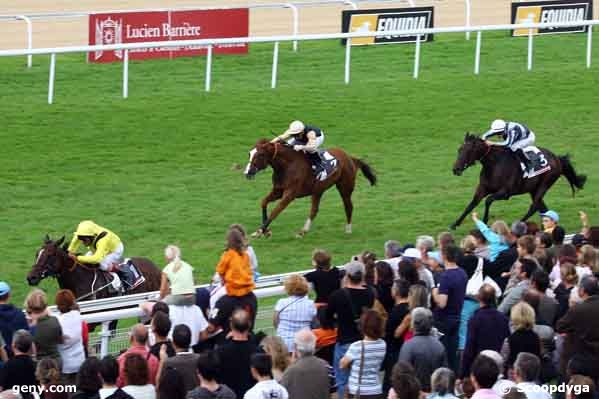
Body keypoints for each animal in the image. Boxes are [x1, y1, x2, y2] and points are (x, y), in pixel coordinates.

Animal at [243, 140, 376, 238]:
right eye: (249, 153)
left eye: (260, 155)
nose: (247, 172)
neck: (287, 166)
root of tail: (350, 157)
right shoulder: (278, 191)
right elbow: (263, 202)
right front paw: (264, 230)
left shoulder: (290, 194)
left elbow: (276, 210)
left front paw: (261, 231)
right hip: (318, 190)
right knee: (314, 210)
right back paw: (303, 231)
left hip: (345, 187)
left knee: (348, 206)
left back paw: (348, 229)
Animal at [450, 134, 584, 230]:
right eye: (459, 150)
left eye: (468, 151)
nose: (455, 169)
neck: (495, 165)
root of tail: (557, 159)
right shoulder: (483, 188)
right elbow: (471, 204)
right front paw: (455, 224)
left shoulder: (505, 193)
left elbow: (488, 201)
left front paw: (484, 222)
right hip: (533, 189)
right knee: (543, 208)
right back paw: (544, 227)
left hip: (544, 185)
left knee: (534, 207)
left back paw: (519, 224)